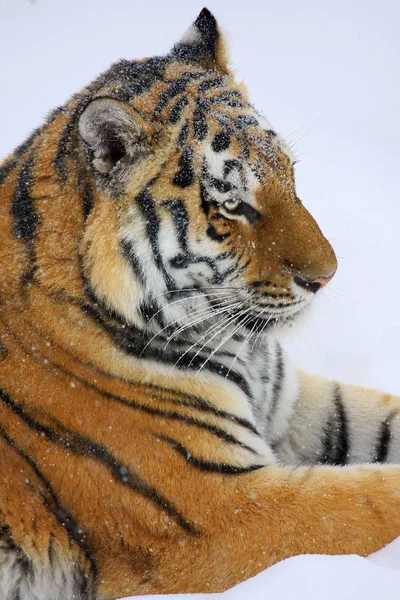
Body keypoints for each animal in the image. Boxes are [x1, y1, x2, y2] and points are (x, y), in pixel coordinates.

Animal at [0, 5, 400, 600]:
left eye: (289, 173)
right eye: (232, 205)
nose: (326, 277)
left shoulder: (293, 406)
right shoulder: (217, 512)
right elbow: (366, 502)